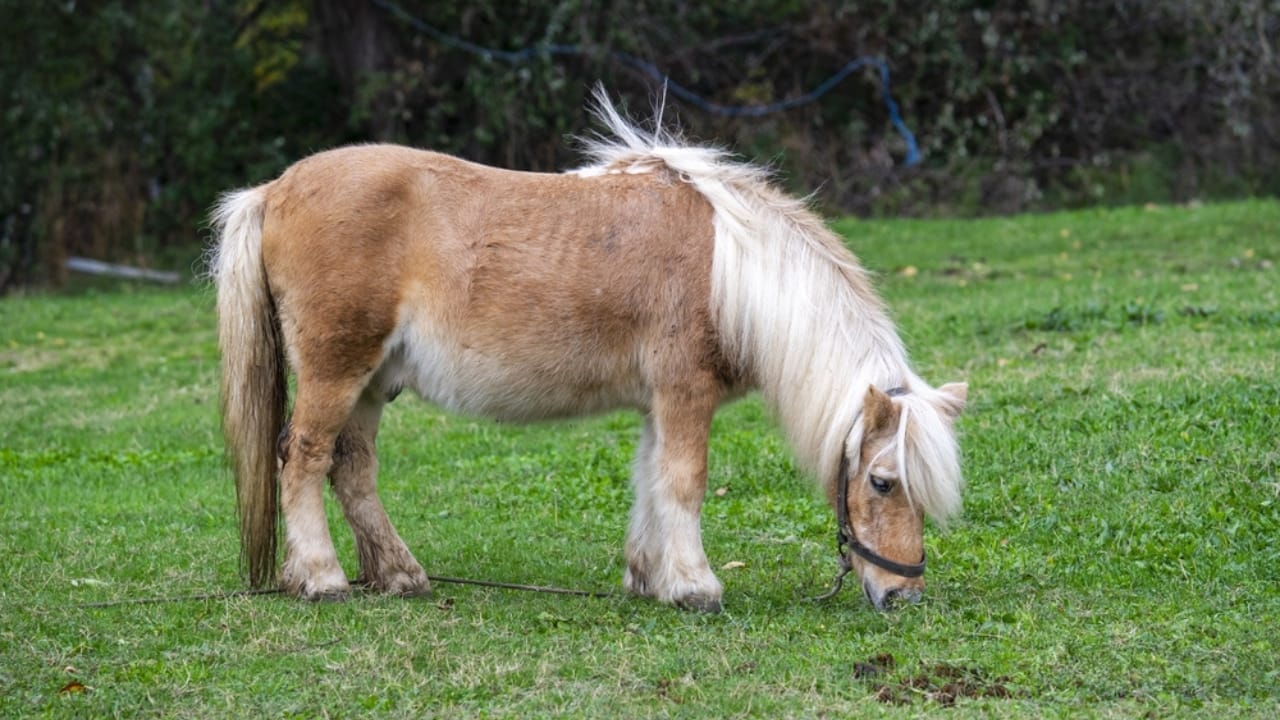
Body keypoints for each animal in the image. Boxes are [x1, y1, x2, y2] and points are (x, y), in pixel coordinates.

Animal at [208, 90, 967, 612]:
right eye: (882, 481)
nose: (902, 595)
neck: (734, 271)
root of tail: (274, 189)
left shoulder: (658, 402)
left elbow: (651, 479)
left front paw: (650, 577)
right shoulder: (685, 394)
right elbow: (684, 481)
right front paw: (696, 587)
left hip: (373, 381)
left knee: (353, 469)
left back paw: (400, 574)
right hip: (338, 370)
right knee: (304, 458)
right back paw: (322, 577)